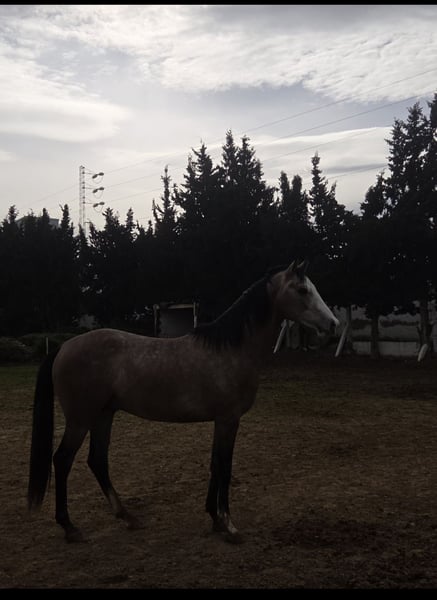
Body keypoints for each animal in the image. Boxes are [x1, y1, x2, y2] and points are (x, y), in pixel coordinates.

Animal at [27, 260, 339, 544]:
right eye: (302, 290)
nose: (333, 325)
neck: (231, 349)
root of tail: (64, 346)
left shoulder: (221, 421)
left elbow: (214, 464)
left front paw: (214, 519)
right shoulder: (229, 419)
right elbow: (225, 467)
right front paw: (229, 525)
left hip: (104, 414)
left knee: (98, 460)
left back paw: (128, 517)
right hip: (80, 419)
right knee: (63, 460)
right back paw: (69, 527)